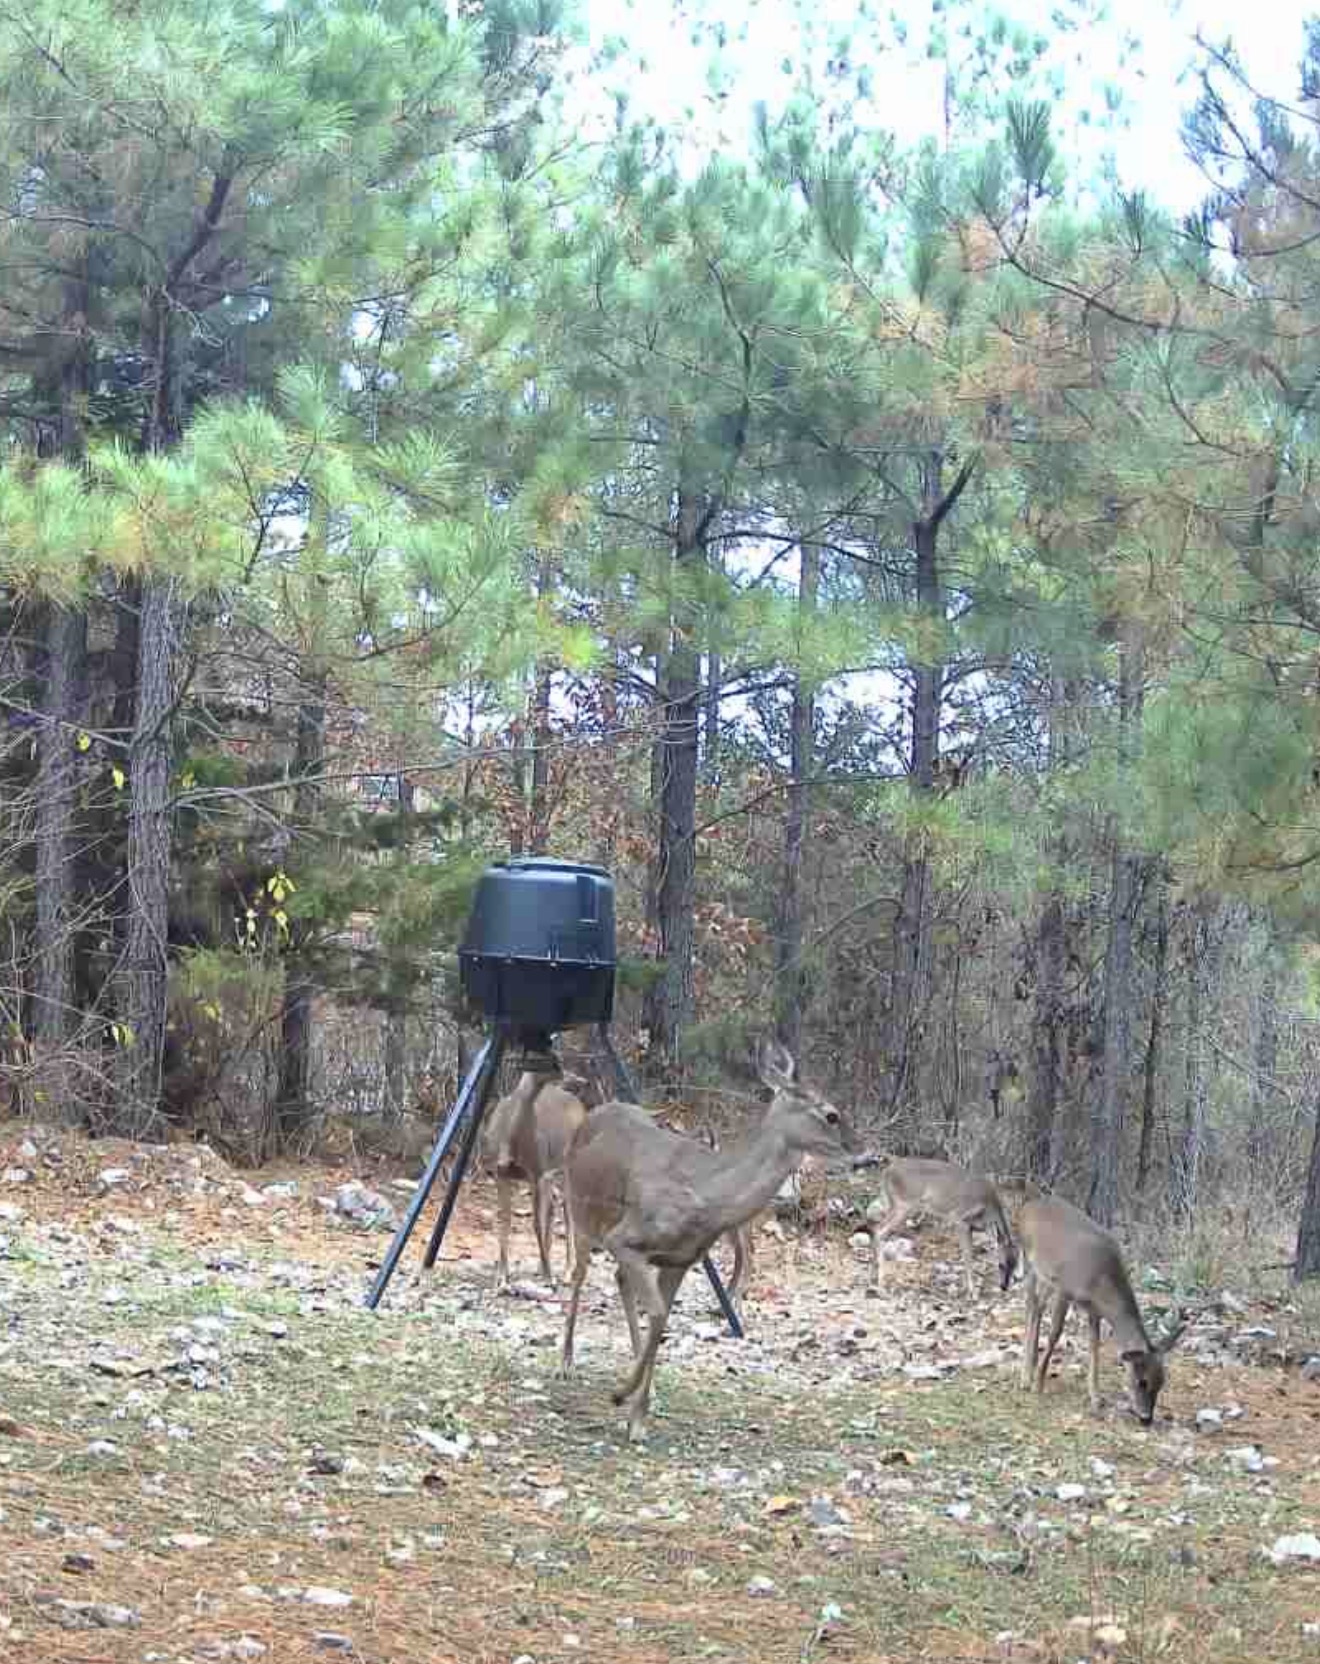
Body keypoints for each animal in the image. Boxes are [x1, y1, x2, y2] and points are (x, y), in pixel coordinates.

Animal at [480, 1069, 588, 1289]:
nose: (581, 1080)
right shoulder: (501, 1174)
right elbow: (505, 1221)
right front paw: (501, 1277)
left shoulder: (536, 1172)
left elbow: (536, 1224)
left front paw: (549, 1276)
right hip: (551, 1175)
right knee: (555, 1206)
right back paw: (543, 1265)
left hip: (567, 1166)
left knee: (568, 1213)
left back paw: (565, 1272)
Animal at [559, 1040, 858, 1442]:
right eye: (831, 1115)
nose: (864, 1153)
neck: (706, 1198)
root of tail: (592, 1113)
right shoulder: (623, 1236)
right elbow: (656, 1313)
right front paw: (621, 1396)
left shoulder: (680, 1260)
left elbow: (661, 1318)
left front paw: (638, 1416)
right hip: (580, 1212)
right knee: (578, 1275)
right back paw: (565, 1362)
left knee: (620, 1280)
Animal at [863, 1156, 1019, 1298]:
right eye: (1000, 1264)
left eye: (1015, 1265)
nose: (1004, 1287)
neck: (988, 1207)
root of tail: (887, 1171)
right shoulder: (959, 1219)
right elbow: (968, 1255)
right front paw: (972, 1292)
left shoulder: (972, 1227)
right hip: (904, 1204)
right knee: (879, 1230)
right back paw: (881, 1287)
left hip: (894, 1203)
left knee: (876, 1229)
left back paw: (872, 1280)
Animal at [1017, 1193, 1185, 1423]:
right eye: (1142, 1381)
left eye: (1162, 1381)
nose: (1146, 1418)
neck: (1101, 1281)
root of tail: (1027, 1206)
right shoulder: (1065, 1289)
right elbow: (1054, 1334)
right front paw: (1038, 1385)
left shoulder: (1093, 1309)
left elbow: (1094, 1345)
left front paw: (1096, 1398)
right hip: (1031, 1262)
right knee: (1031, 1303)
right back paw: (1026, 1377)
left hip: (1045, 1275)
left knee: (1036, 1305)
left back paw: (1031, 1366)